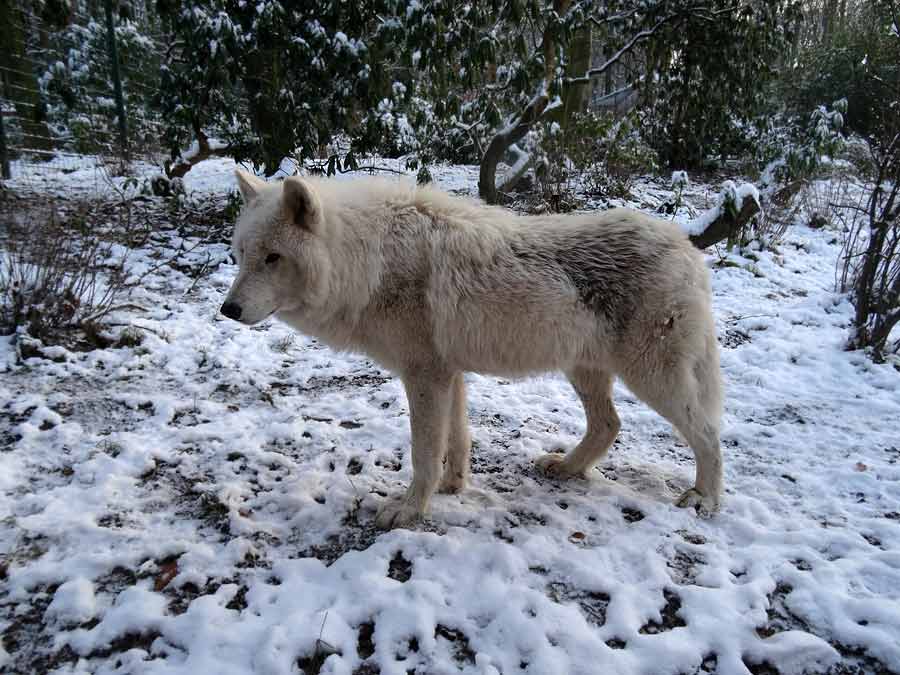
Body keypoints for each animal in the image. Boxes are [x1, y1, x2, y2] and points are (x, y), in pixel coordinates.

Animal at [223, 170, 724, 528]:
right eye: (241, 255)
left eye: (273, 258)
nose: (228, 309)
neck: (368, 261)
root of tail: (688, 248)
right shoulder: (449, 373)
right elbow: (457, 439)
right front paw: (453, 487)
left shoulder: (424, 376)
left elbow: (424, 452)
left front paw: (410, 510)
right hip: (584, 370)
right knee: (609, 424)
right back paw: (566, 468)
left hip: (651, 378)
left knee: (708, 433)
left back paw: (705, 499)